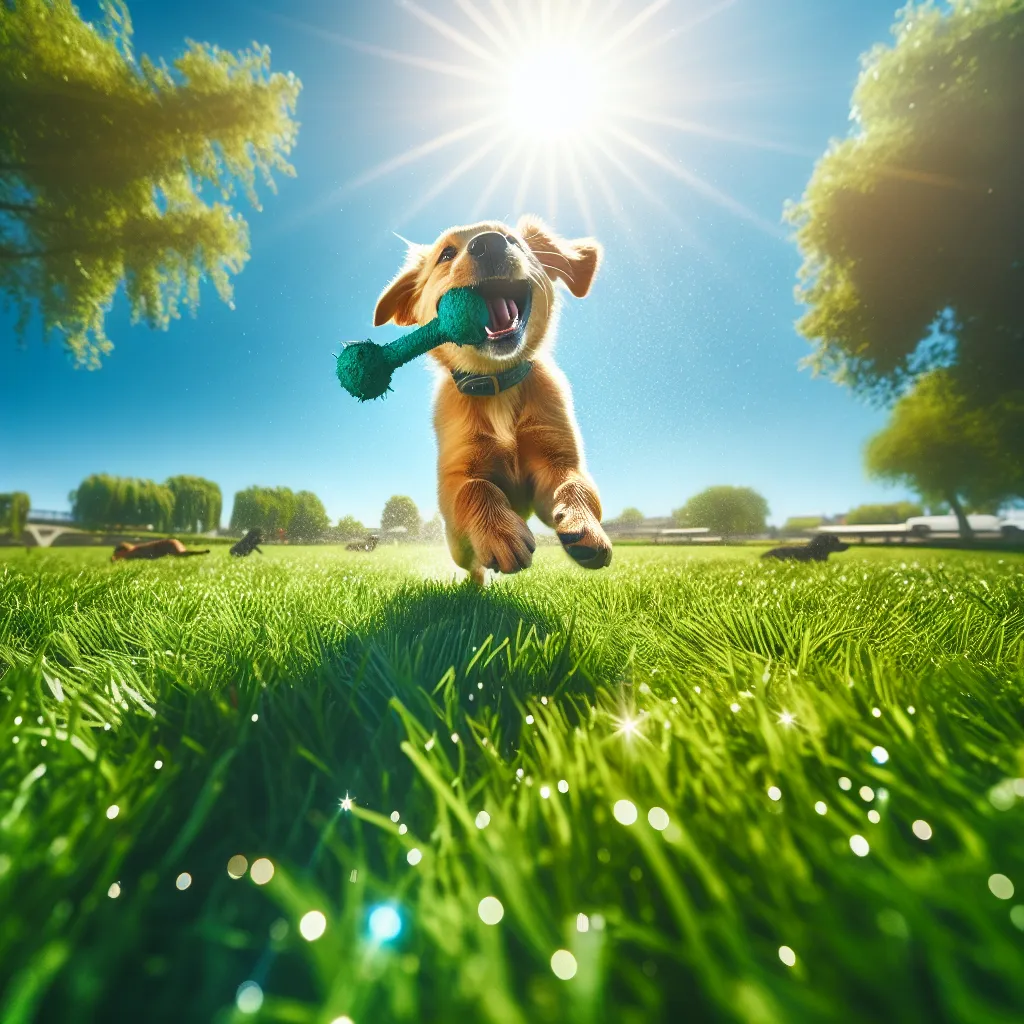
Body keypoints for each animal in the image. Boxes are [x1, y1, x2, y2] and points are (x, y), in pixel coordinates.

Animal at [376, 214, 614, 585]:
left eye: (514, 240)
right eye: (446, 254)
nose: (489, 244)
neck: (498, 384)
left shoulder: (556, 459)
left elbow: (575, 485)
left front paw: (584, 525)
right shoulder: (455, 475)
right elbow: (476, 488)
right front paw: (500, 534)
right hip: (457, 546)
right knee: (471, 562)